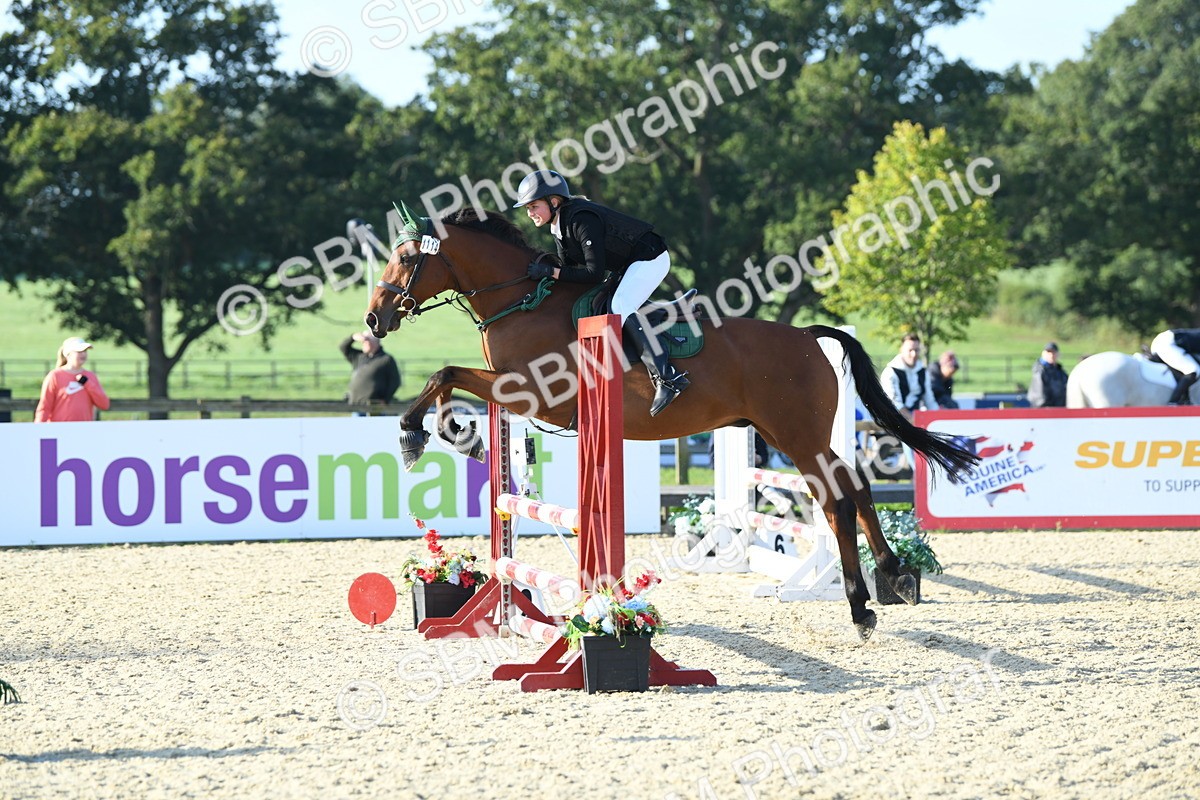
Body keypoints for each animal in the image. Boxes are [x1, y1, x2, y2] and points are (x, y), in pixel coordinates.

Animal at [363, 206, 979, 640]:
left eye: (405, 259)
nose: (374, 318)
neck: (522, 300)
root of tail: (807, 335)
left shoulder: (529, 392)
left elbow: (444, 373)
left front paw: (415, 436)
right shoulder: (511, 392)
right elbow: (448, 380)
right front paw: (456, 438)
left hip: (798, 436)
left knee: (837, 500)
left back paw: (863, 603)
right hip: (784, 434)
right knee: (854, 488)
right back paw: (893, 578)